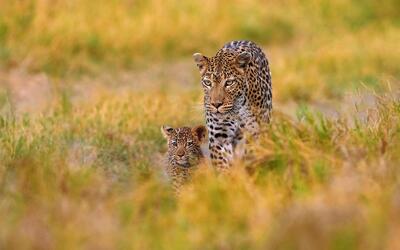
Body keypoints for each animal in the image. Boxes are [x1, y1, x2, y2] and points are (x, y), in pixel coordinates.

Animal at [193, 40, 272, 172]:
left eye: (229, 83)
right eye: (208, 83)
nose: (216, 104)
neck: (235, 111)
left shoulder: (254, 132)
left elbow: (250, 155)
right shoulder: (219, 137)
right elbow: (222, 163)